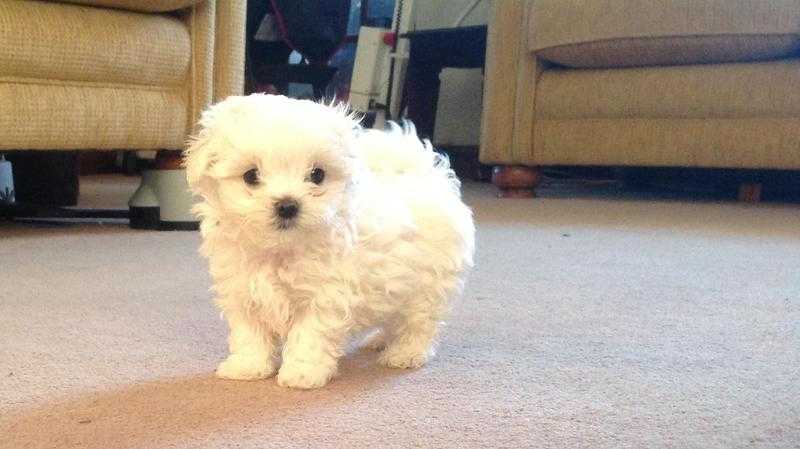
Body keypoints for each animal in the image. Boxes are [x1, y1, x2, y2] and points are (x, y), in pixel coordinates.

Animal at [186, 94, 476, 388]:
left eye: (317, 175)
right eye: (250, 176)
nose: (287, 205)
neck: (280, 250)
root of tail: (429, 177)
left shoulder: (325, 297)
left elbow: (310, 336)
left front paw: (303, 373)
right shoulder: (243, 292)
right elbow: (250, 334)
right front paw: (248, 366)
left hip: (428, 283)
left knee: (418, 323)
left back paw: (405, 354)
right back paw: (379, 340)